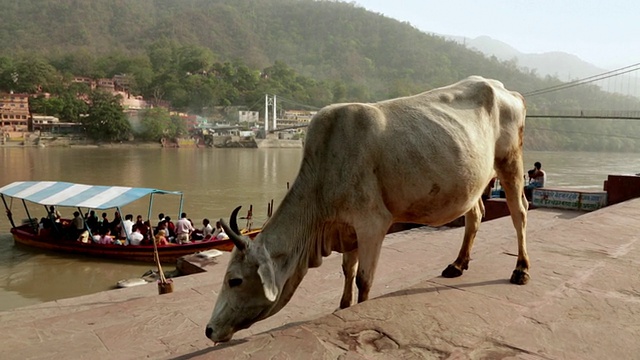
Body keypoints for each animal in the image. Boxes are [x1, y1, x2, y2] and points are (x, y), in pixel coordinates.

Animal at [205, 76, 528, 344]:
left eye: (235, 280)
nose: (209, 329)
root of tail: (505, 90)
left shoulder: (372, 224)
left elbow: (364, 279)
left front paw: (357, 310)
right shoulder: (347, 229)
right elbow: (348, 270)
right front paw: (342, 306)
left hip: (510, 162)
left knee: (519, 213)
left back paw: (521, 269)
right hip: (474, 180)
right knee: (475, 216)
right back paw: (458, 264)